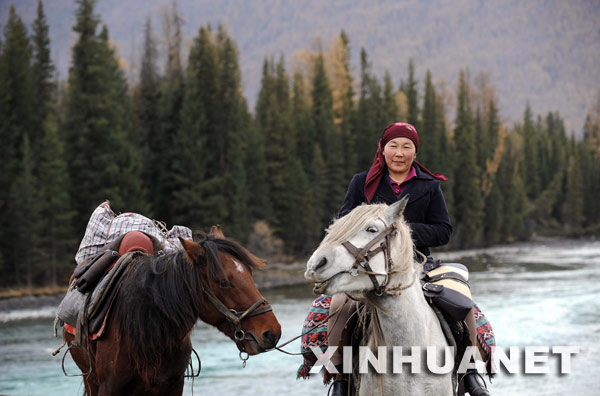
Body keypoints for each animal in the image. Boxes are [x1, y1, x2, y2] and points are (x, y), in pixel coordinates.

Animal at [65, 226, 282, 396]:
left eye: (250, 273)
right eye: (222, 281)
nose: (272, 333)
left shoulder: (172, 385)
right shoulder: (109, 388)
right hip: (90, 379)